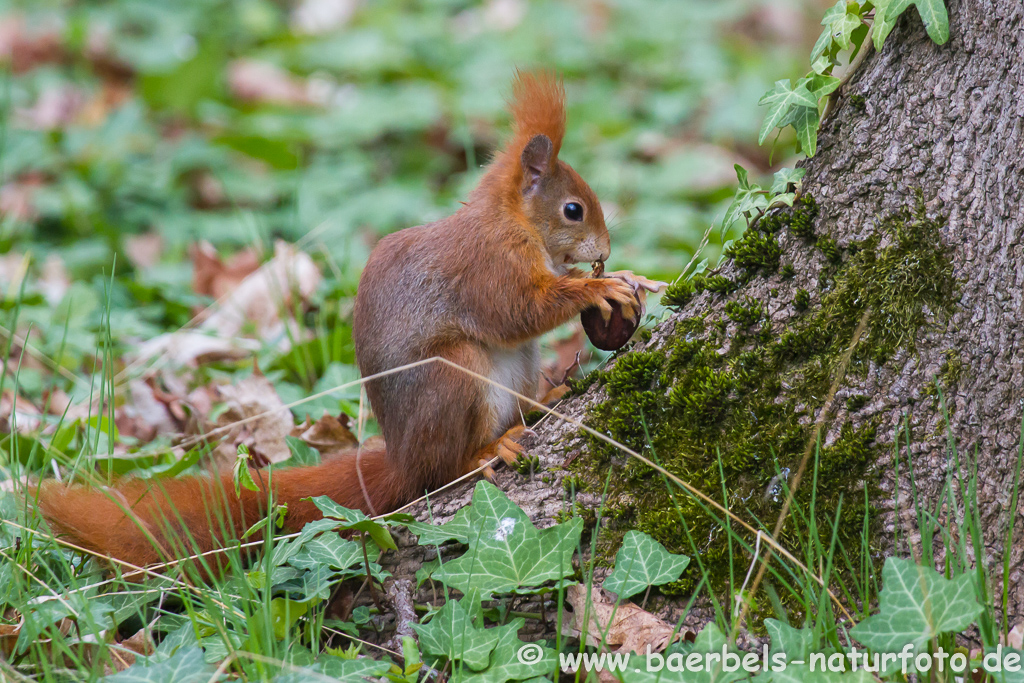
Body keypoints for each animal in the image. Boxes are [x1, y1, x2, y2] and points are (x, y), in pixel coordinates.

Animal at [36, 72, 663, 569]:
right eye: (573, 210)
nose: (606, 248)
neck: (514, 221)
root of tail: (402, 457)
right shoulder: (487, 267)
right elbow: (518, 311)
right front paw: (598, 286)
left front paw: (630, 277)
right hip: (452, 377)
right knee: (443, 469)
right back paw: (486, 451)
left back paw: (545, 398)